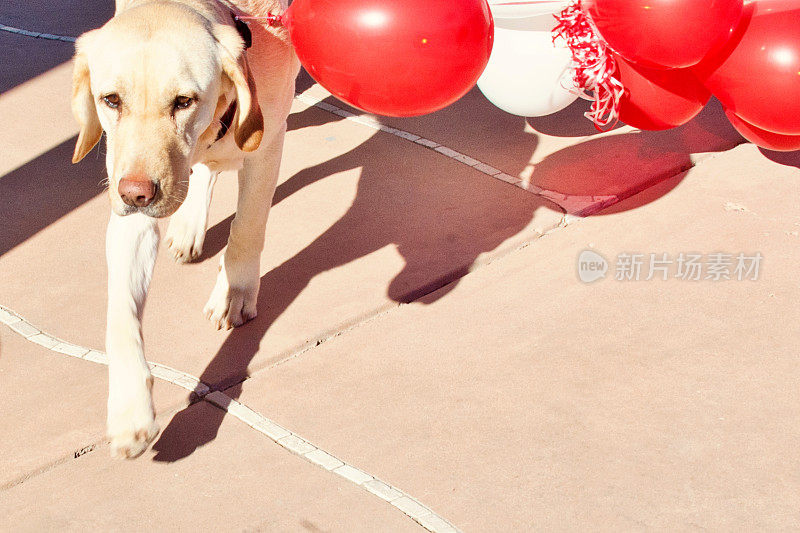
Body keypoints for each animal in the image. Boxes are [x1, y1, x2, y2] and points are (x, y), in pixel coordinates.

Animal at [70, 0, 296, 458]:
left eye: (183, 101)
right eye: (111, 100)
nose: (136, 194)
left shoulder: (266, 145)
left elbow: (247, 228)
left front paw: (233, 292)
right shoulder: (129, 209)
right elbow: (120, 316)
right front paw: (130, 410)